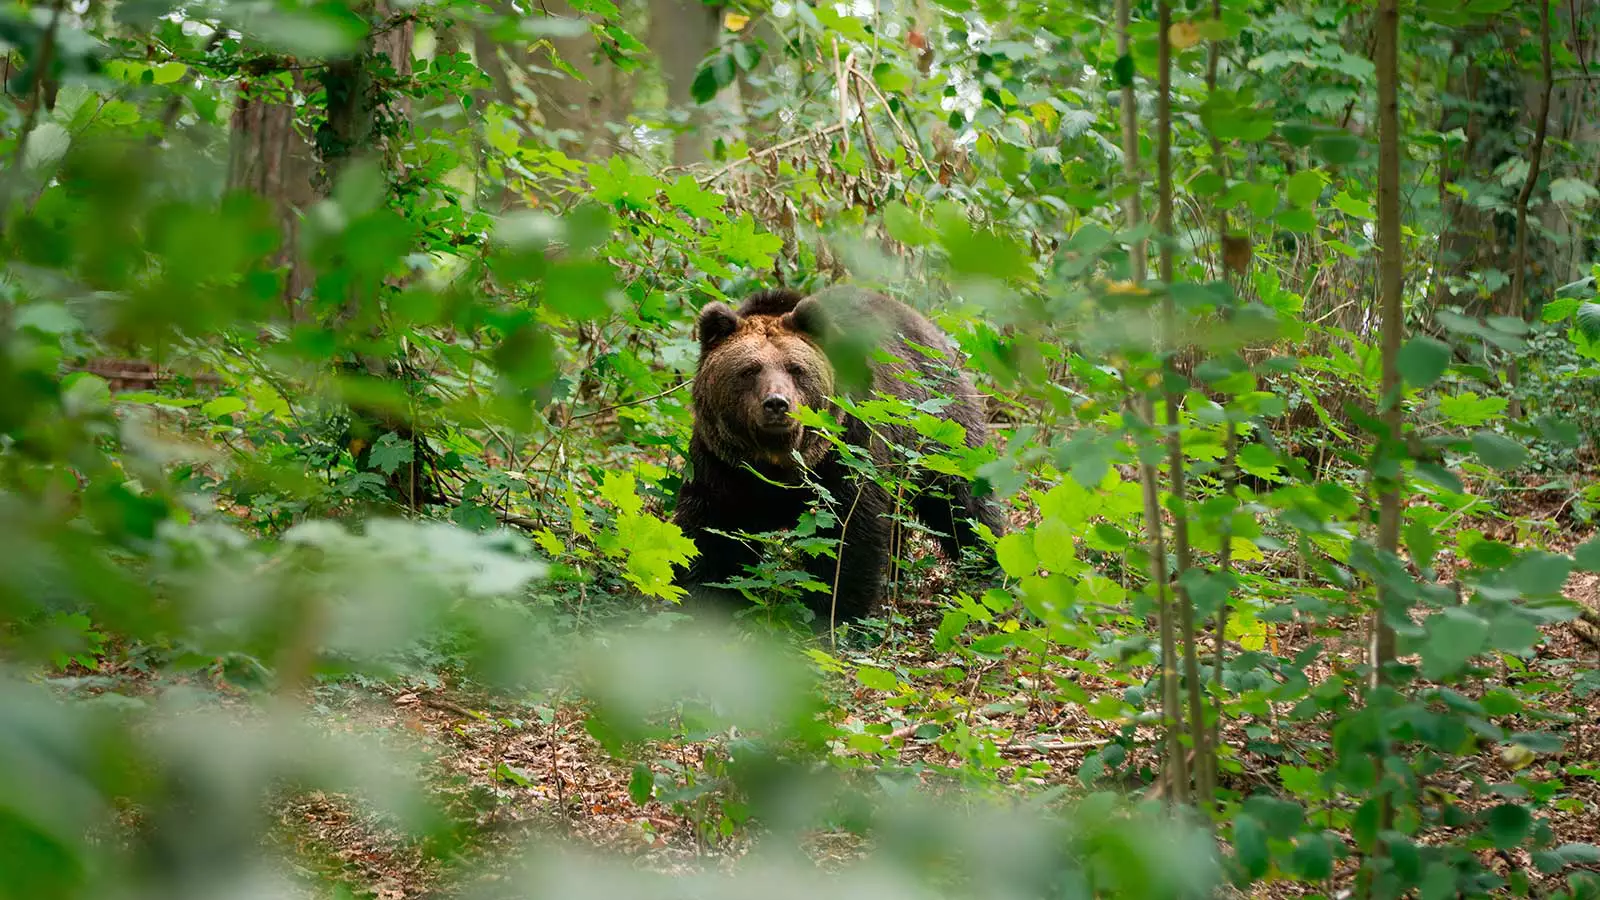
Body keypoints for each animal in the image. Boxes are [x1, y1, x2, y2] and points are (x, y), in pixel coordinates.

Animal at [672, 281, 998, 624]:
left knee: (964, 506)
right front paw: (703, 604)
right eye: (749, 369)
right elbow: (711, 536)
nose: (777, 403)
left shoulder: (847, 453)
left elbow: (849, 539)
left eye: (796, 369)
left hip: (940, 429)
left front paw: (835, 612)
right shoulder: (722, 467)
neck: (777, 464)